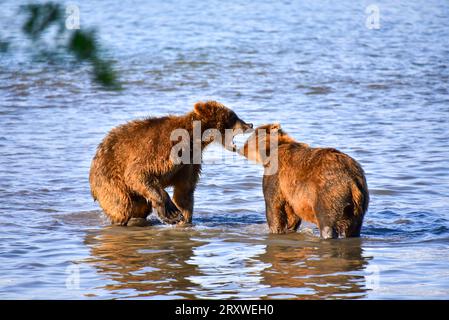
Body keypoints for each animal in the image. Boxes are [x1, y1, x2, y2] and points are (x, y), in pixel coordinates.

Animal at [90, 101, 252, 226]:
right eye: (233, 116)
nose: (249, 124)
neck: (194, 139)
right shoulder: (163, 149)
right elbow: (139, 173)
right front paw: (171, 213)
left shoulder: (190, 162)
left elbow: (184, 190)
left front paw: (184, 218)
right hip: (109, 179)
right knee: (122, 205)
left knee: (140, 207)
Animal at [238, 124, 368, 239]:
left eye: (249, 139)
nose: (240, 149)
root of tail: (352, 180)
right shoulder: (292, 194)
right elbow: (291, 213)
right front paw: (289, 228)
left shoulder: (277, 176)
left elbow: (274, 206)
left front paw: (275, 230)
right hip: (358, 204)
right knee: (354, 228)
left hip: (329, 192)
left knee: (327, 222)